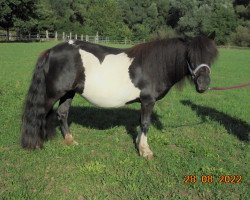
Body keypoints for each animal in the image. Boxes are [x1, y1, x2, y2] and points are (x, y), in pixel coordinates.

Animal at [21, 32, 217, 159]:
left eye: (212, 55)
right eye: (189, 55)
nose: (203, 85)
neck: (154, 65)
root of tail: (51, 51)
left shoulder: (143, 102)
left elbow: (140, 123)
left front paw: (138, 143)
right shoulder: (148, 101)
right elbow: (145, 124)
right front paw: (145, 151)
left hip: (68, 93)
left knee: (61, 113)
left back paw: (68, 141)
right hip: (52, 94)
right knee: (39, 114)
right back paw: (36, 144)